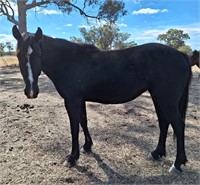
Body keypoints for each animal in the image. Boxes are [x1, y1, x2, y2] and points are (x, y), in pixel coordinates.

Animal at [12, 25, 191, 173]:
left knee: (178, 125)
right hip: (158, 97)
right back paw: (156, 153)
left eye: (38, 54)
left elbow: (74, 127)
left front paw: (72, 158)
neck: (69, 61)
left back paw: (177, 164)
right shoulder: (80, 99)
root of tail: (180, 54)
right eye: (18, 54)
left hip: (166, 99)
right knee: (164, 123)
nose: (31, 92)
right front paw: (87, 147)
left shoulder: (72, 100)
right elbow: (83, 121)